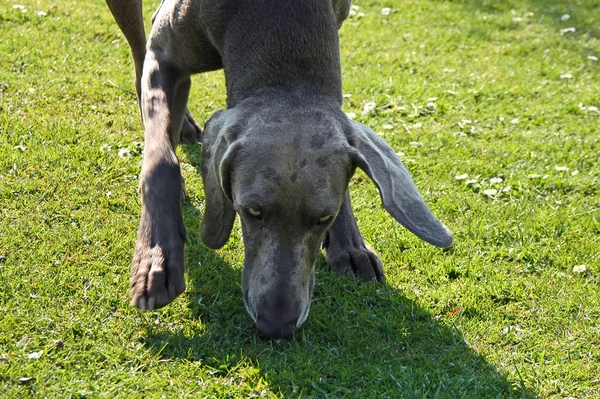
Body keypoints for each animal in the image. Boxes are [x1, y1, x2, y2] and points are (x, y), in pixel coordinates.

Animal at [106, 0, 454, 340]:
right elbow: (161, 160)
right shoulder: (165, 55)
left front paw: (350, 246)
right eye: (251, 211)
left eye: (323, 219)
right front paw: (156, 258)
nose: (277, 326)